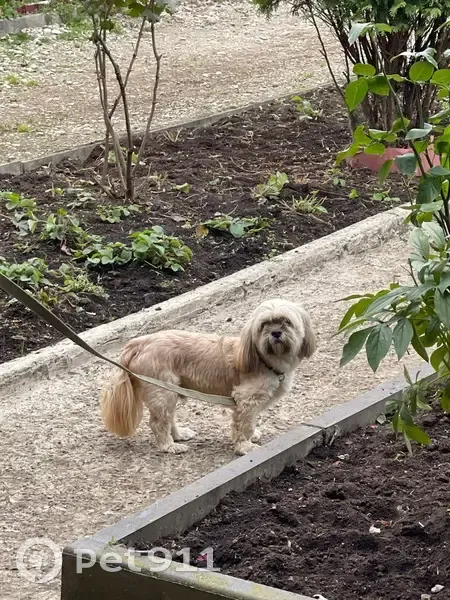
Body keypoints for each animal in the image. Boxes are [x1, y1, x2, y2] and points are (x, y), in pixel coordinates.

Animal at [100, 298, 316, 455]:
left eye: (287, 321)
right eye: (264, 324)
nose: (276, 332)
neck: (265, 359)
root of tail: (140, 343)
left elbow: (249, 424)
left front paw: (251, 436)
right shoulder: (246, 400)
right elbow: (244, 425)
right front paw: (244, 447)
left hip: (170, 391)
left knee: (168, 418)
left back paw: (178, 435)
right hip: (161, 391)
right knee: (158, 423)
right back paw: (168, 446)